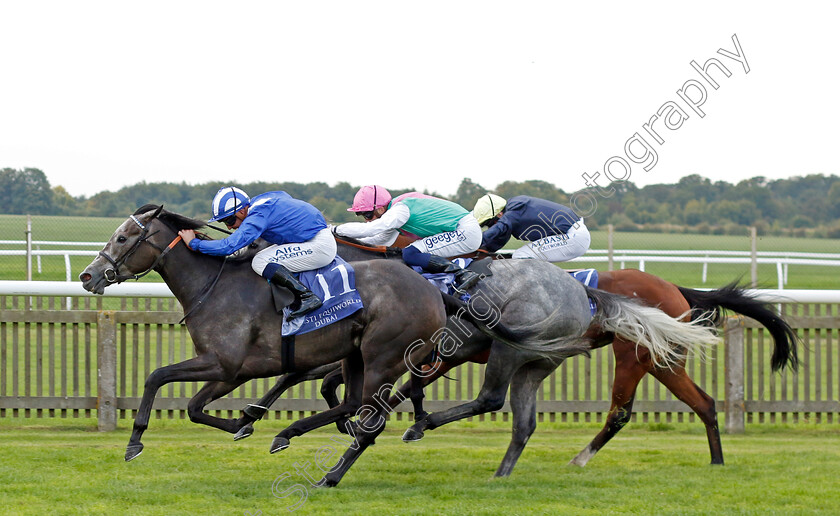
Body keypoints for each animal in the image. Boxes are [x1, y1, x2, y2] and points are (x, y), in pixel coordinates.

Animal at [79, 205, 568, 488]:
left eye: (123, 238)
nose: (88, 275)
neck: (213, 284)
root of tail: (436, 292)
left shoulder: (223, 363)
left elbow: (156, 377)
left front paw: (135, 442)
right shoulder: (232, 370)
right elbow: (195, 407)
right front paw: (243, 423)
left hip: (385, 357)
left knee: (372, 419)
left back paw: (332, 474)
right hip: (358, 355)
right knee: (352, 402)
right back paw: (291, 434)